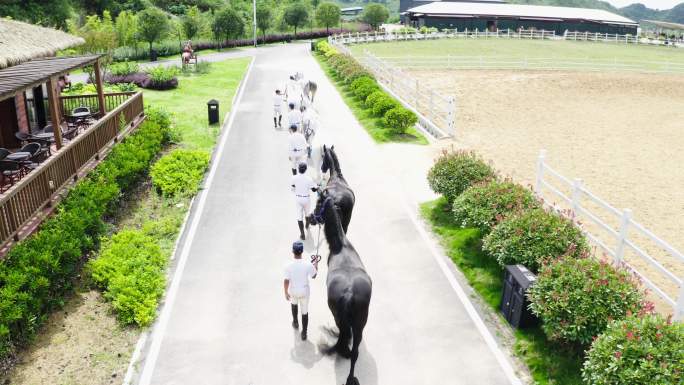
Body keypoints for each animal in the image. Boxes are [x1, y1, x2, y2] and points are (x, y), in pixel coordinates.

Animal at [316, 196, 372, 384]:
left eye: (318, 204)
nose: (311, 217)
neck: (343, 246)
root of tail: (349, 293)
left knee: (344, 335)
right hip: (360, 323)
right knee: (354, 351)